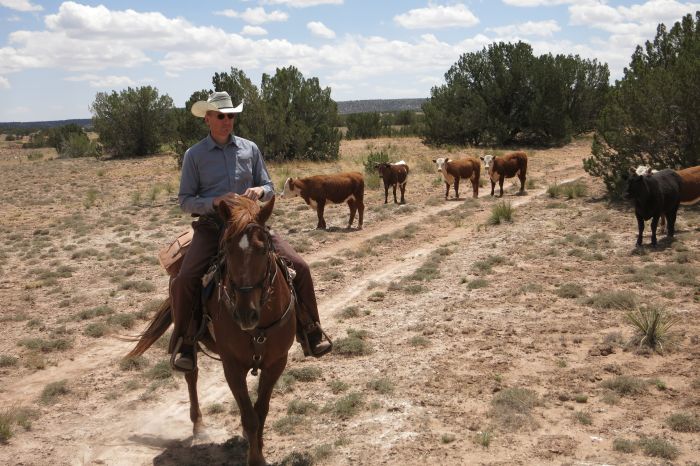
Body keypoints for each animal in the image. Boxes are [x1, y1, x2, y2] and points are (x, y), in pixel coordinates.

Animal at [126, 196, 296, 466]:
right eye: (227, 249)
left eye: (263, 249)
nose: (245, 314)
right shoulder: (232, 367)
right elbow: (249, 417)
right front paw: (255, 458)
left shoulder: (276, 363)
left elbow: (261, 411)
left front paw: (258, 447)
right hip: (189, 337)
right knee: (191, 374)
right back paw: (199, 425)